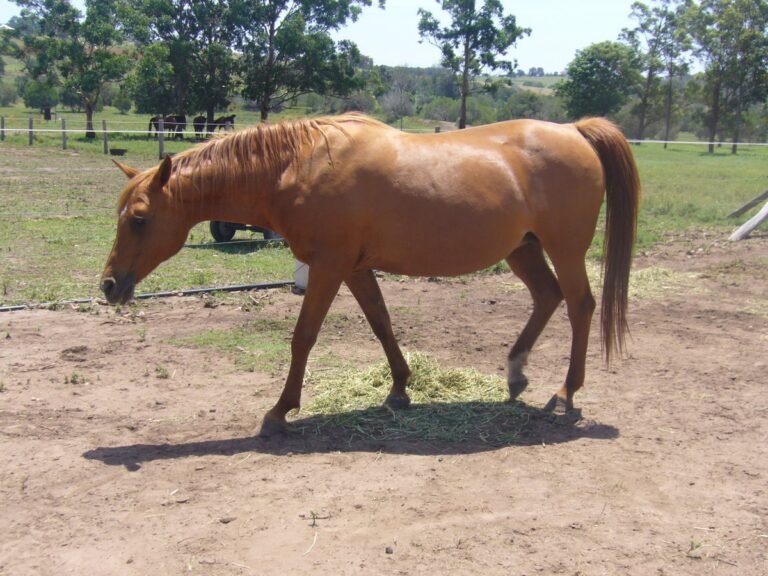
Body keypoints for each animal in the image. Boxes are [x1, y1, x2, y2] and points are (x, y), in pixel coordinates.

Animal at [101, 113, 640, 437]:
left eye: (140, 218)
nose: (108, 285)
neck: (300, 165)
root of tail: (575, 130)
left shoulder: (329, 267)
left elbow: (303, 337)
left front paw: (280, 410)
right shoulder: (355, 269)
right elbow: (382, 324)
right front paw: (400, 389)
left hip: (564, 249)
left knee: (580, 305)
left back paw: (566, 391)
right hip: (522, 250)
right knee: (548, 297)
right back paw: (515, 373)